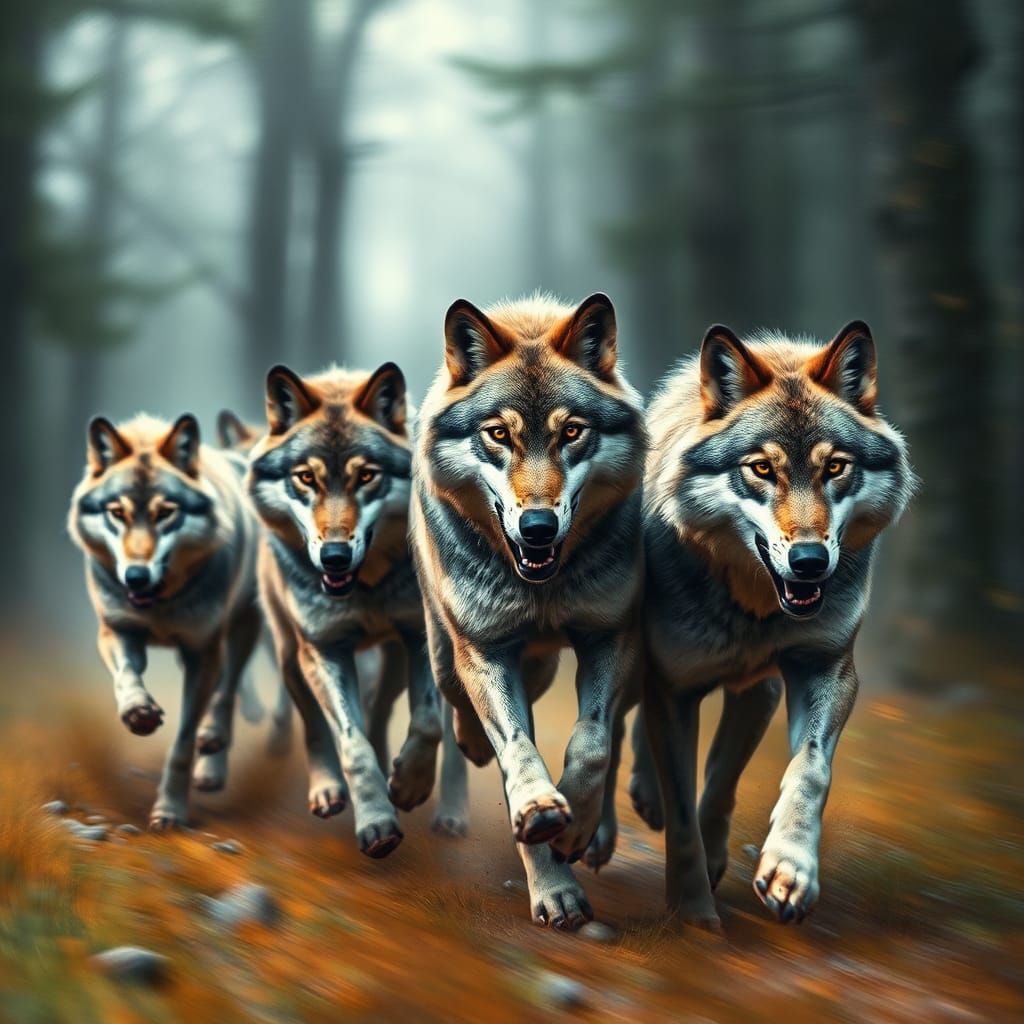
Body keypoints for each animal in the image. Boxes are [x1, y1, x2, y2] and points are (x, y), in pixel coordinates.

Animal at [69, 412, 263, 827]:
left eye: (165, 513)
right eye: (118, 513)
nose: (136, 577)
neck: (161, 602)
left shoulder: (202, 651)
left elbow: (183, 742)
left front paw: (170, 811)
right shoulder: (116, 630)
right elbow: (127, 675)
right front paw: (137, 712)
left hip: (243, 627)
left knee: (227, 689)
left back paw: (212, 757)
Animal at [247, 363, 442, 857]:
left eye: (367, 476)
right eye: (305, 478)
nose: (334, 556)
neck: (365, 591)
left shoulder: (420, 637)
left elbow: (427, 720)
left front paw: (408, 785)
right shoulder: (324, 649)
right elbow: (350, 745)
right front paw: (376, 823)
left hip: (390, 659)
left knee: (379, 713)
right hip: (290, 655)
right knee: (316, 729)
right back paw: (327, 789)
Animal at [411, 293, 647, 929]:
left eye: (572, 432)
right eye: (498, 434)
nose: (537, 526)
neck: (544, 588)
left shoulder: (609, 637)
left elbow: (593, 744)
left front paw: (575, 832)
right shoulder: (487, 649)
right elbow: (518, 748)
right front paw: (546, 842)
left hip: (547, 666)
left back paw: (597, 837)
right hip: (450, 648)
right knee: (452, 698)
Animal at [634, 320, 914, 928]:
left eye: (835, 467)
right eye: (762, 468)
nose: (810, 561)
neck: (755, 613)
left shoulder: (821, 669)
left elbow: (802, 771)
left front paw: (789, 871)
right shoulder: (674, 688)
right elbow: (682, 814)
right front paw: (692, 913)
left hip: (756, 692)